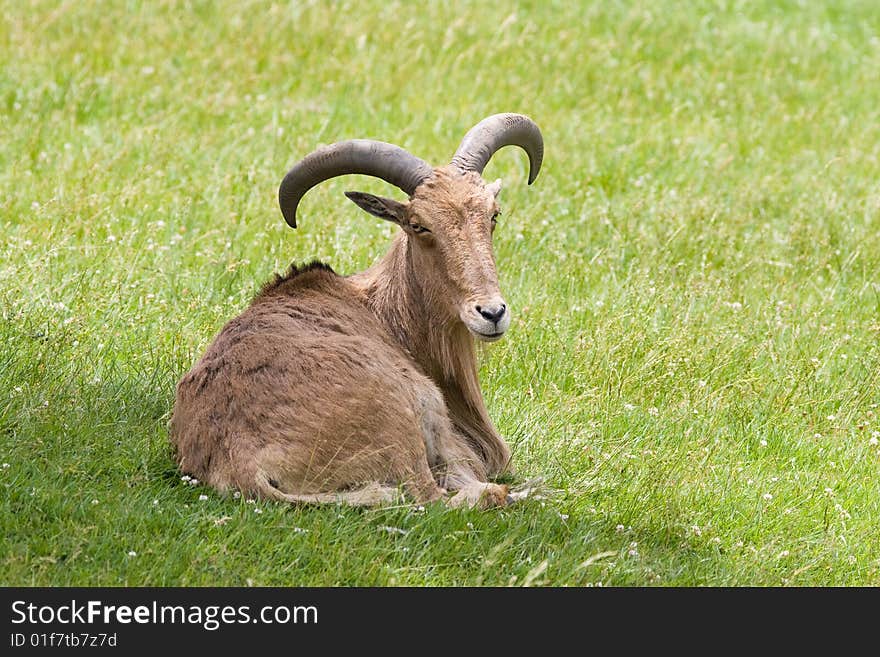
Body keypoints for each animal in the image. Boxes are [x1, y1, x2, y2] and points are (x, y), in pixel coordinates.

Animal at [170, 113, 544, 508]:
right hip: (402, 414)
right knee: (432, 496)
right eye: (419, 225)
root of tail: (244, 463)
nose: (491, 313)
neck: (385, 311)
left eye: (493, 215)